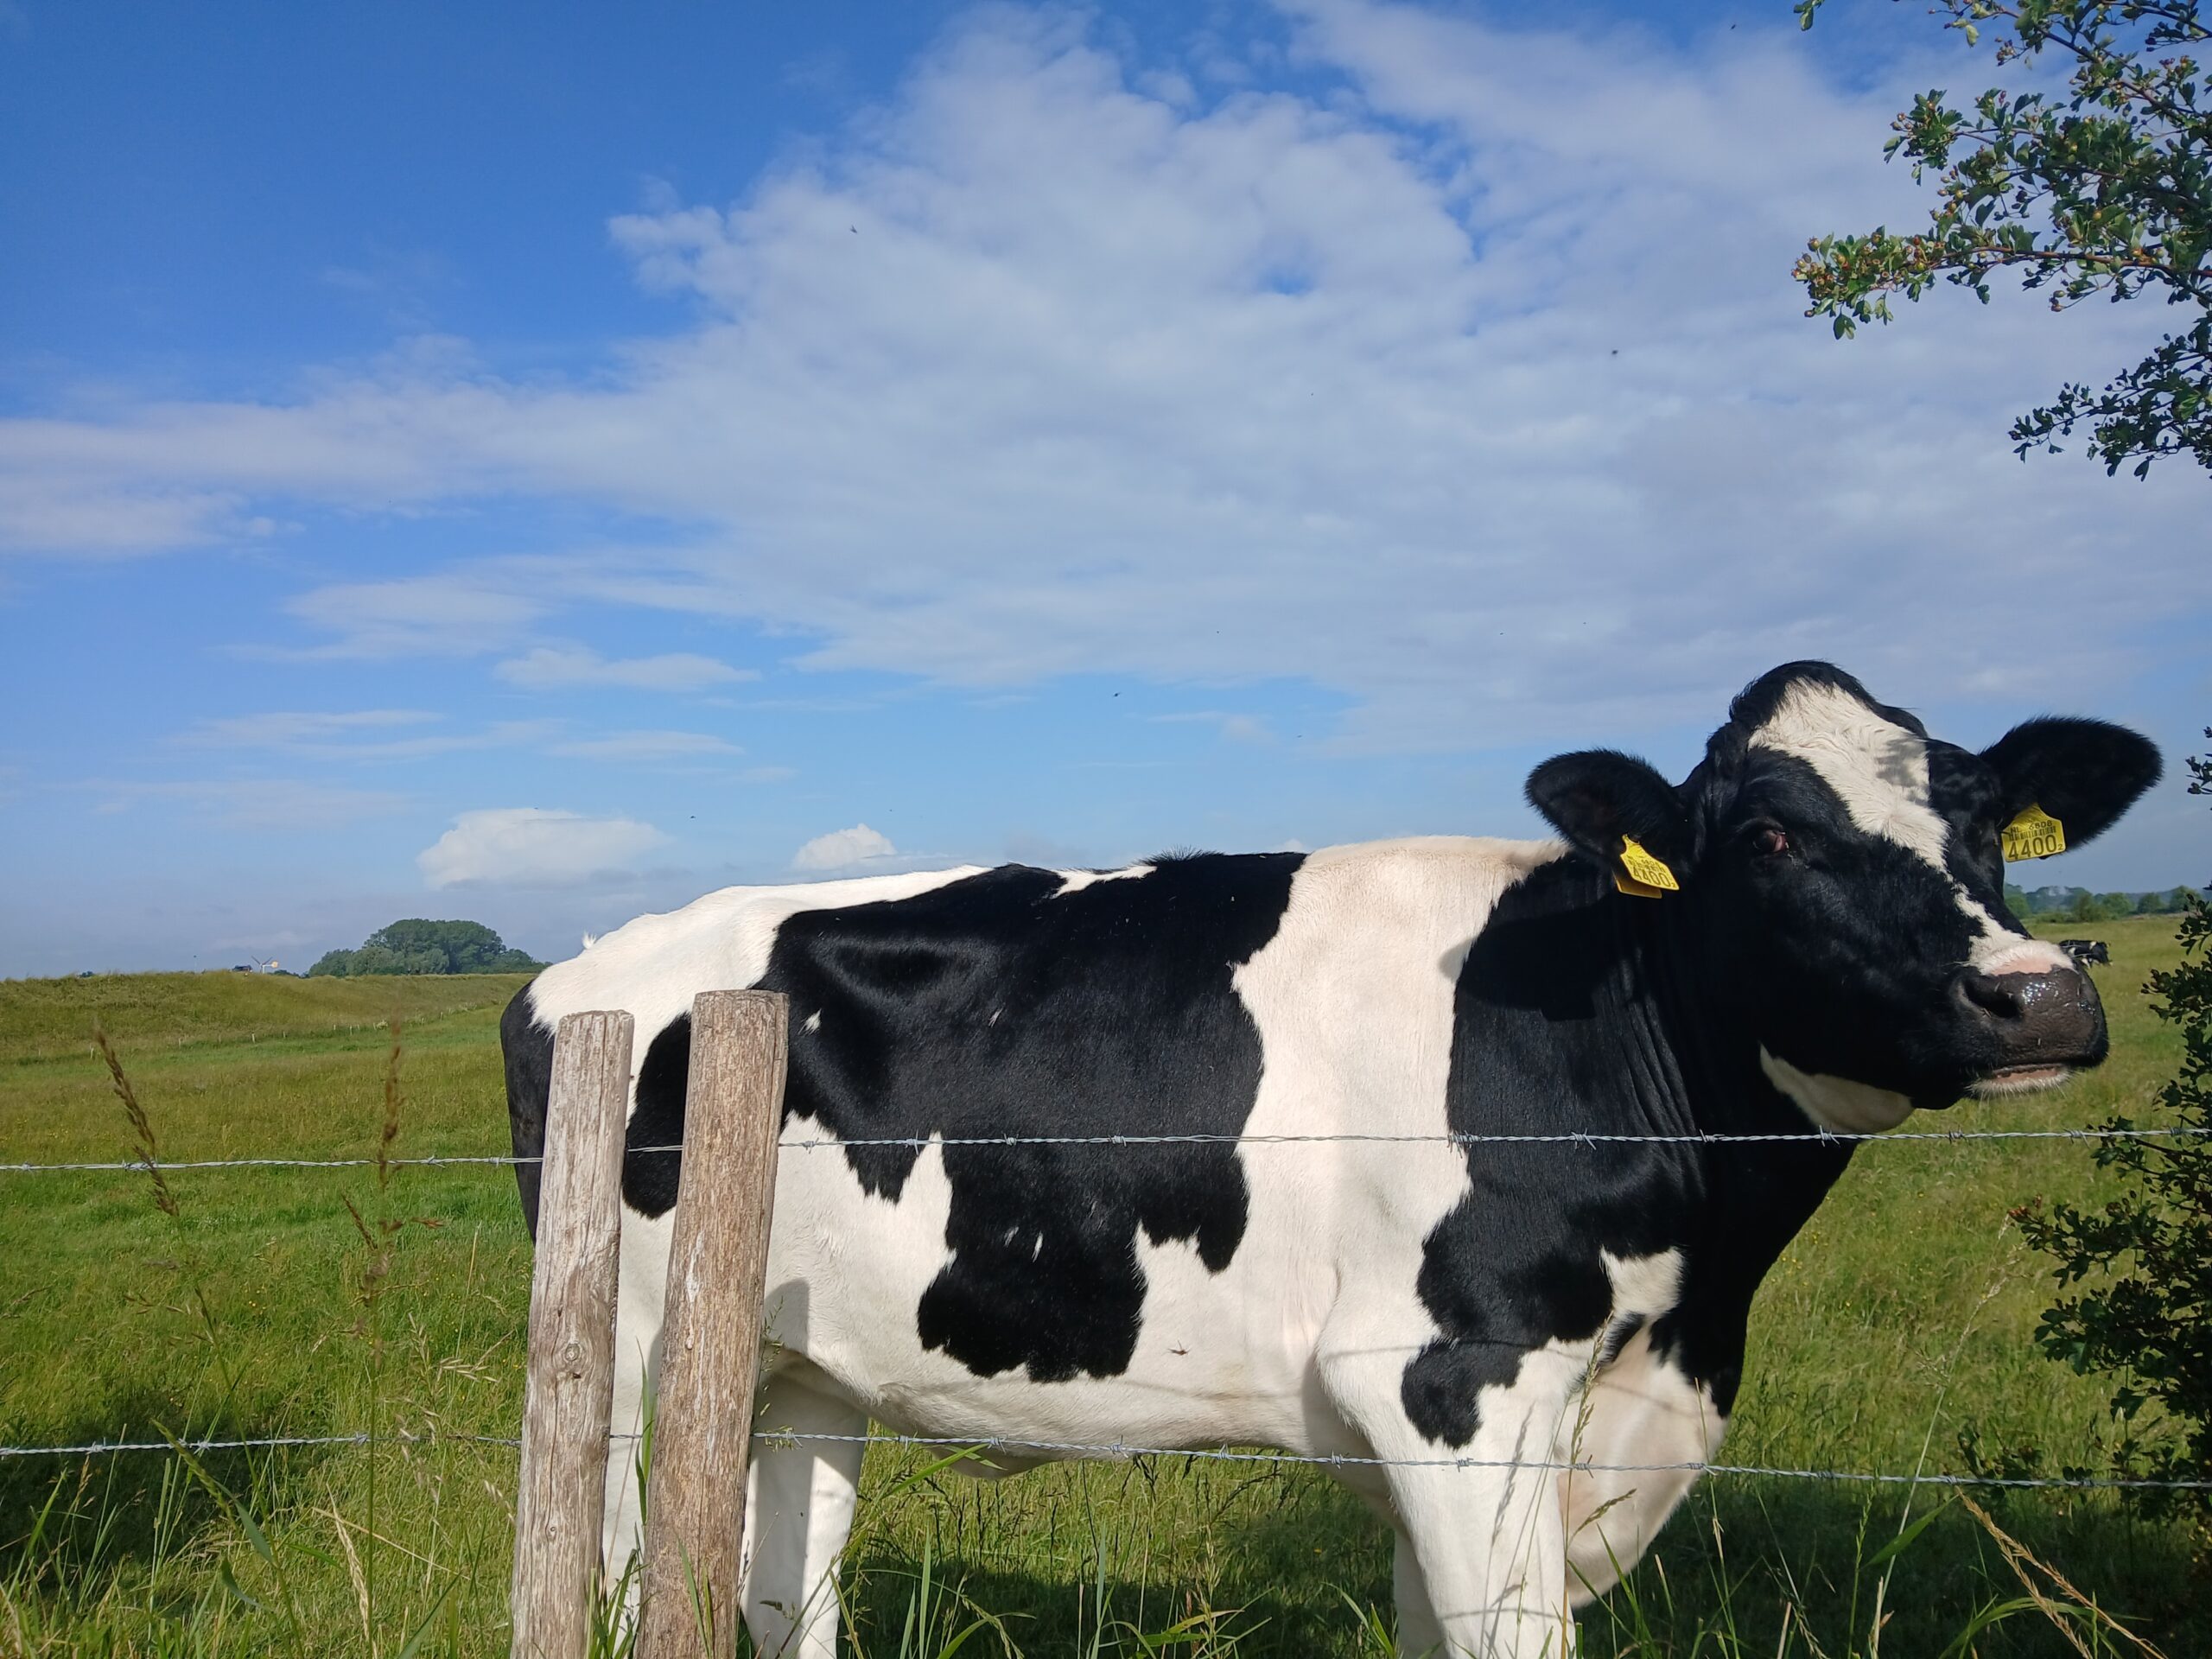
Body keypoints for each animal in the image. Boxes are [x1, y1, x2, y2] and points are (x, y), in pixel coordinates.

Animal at [502, 662, 2160, 1658]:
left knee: (782, 1585)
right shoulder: (1451, 1381)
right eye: (1766, 838)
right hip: (631, 1354)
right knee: (626, 1577)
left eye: (1984, 819)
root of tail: (575, 968)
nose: (2038, 994)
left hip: (798, 1370)